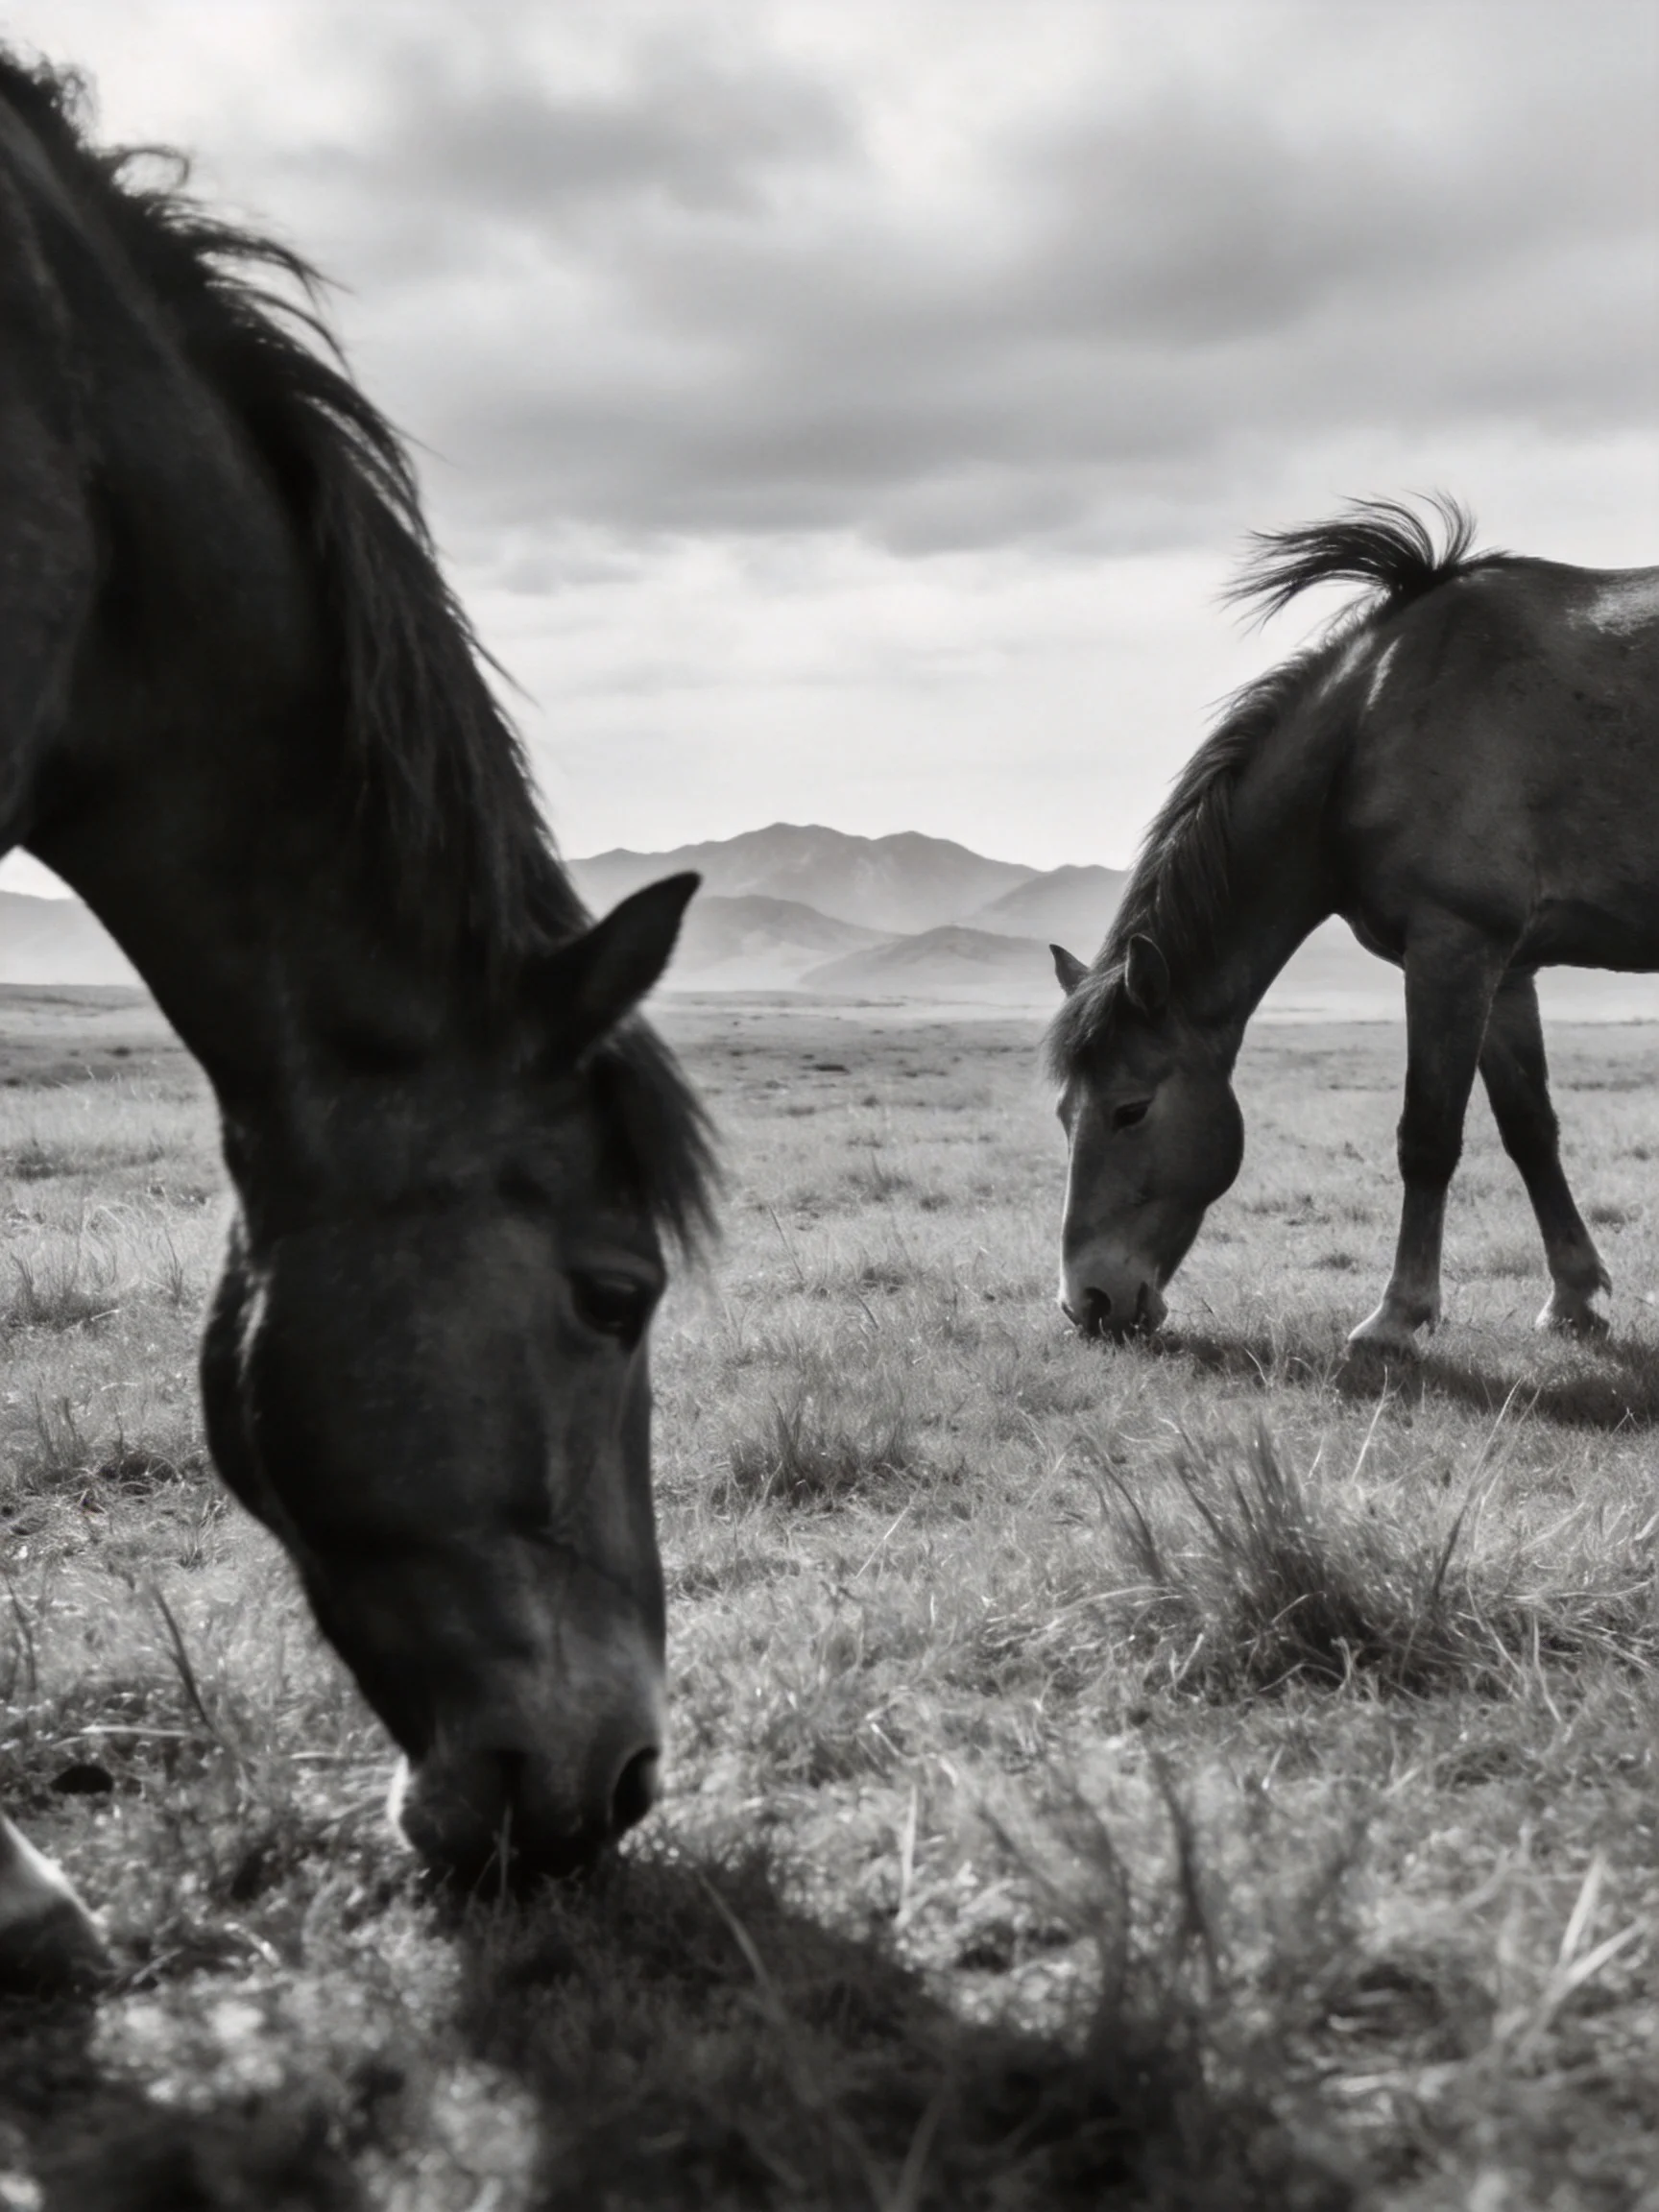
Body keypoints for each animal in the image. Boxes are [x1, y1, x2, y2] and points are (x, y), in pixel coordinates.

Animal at [1047, 496, 1659, 1355]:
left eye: (1129, 1110)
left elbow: (1427, 1138)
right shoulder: (1506, 971)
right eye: (1064, 1114)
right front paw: (1572, 1299)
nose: (1088, 1304)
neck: (1373, 728)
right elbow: (1529, 1129)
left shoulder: (1452, 950)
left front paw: (1398, 1314)